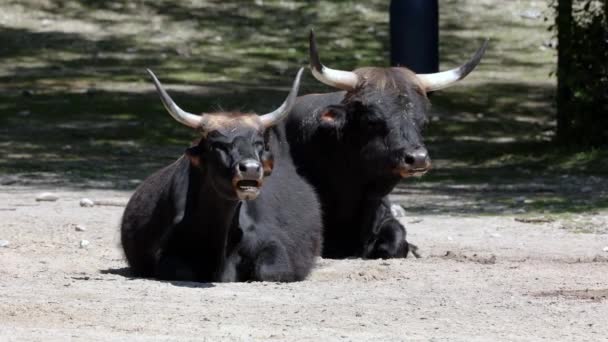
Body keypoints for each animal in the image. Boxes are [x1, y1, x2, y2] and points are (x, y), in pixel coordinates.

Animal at [121, 68, 326, 282]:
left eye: (258, 143)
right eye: (217, 144)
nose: (251, 168)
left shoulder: (275, 246)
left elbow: (270, 270)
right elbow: (179, 270)